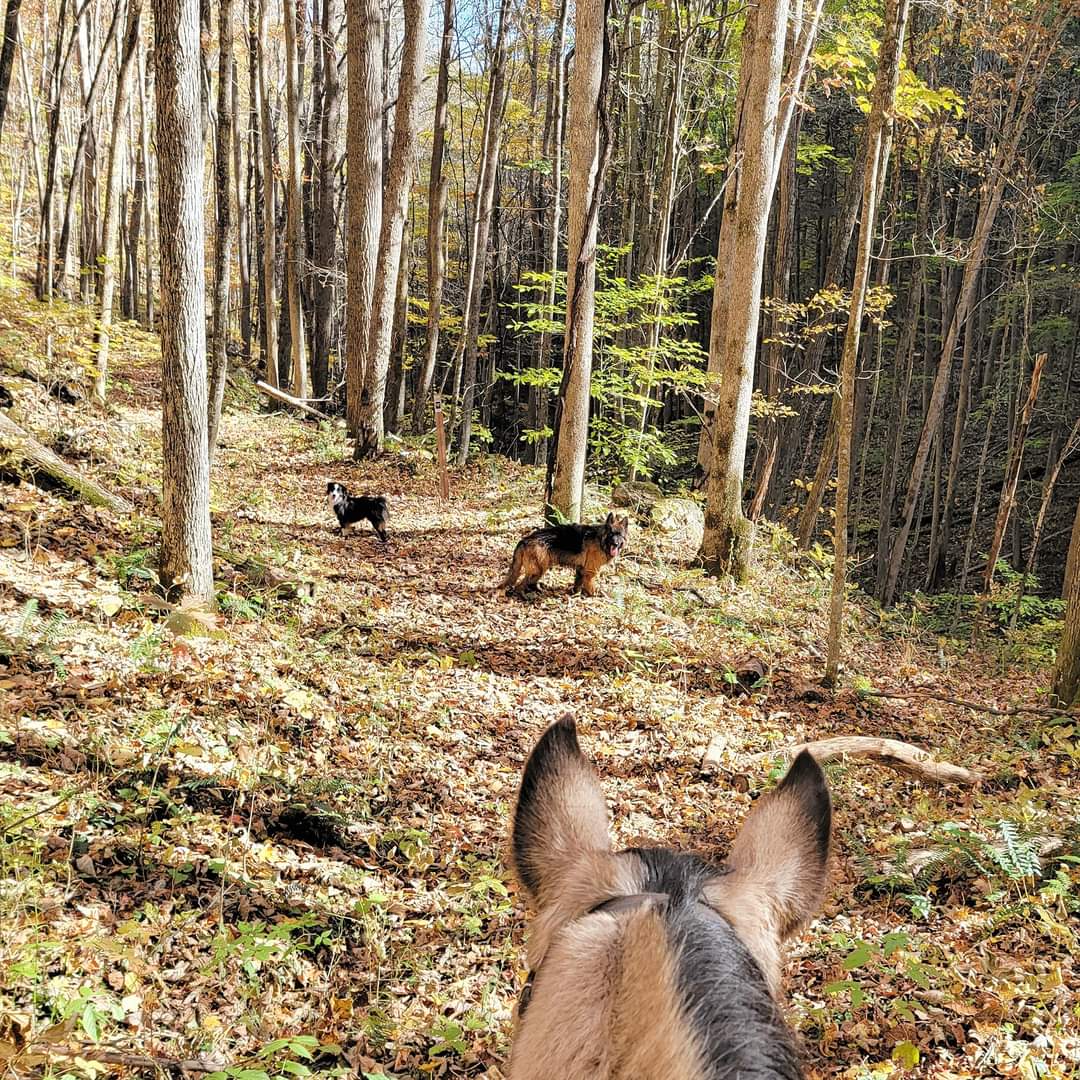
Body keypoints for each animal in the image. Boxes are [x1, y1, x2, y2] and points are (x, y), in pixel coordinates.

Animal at [498, 509, 630, 596]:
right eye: (611, 534)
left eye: (620, 535)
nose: (615, 544)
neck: (600, 540)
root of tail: (525, 539)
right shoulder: (590, 572)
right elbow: (591, 588)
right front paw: (594, 596)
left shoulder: (581, 570)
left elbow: (578, 583)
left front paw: (575, 594)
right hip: (538, 569)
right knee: (520, 585)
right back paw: (523, 596)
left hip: (541, 568)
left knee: (529, 582)